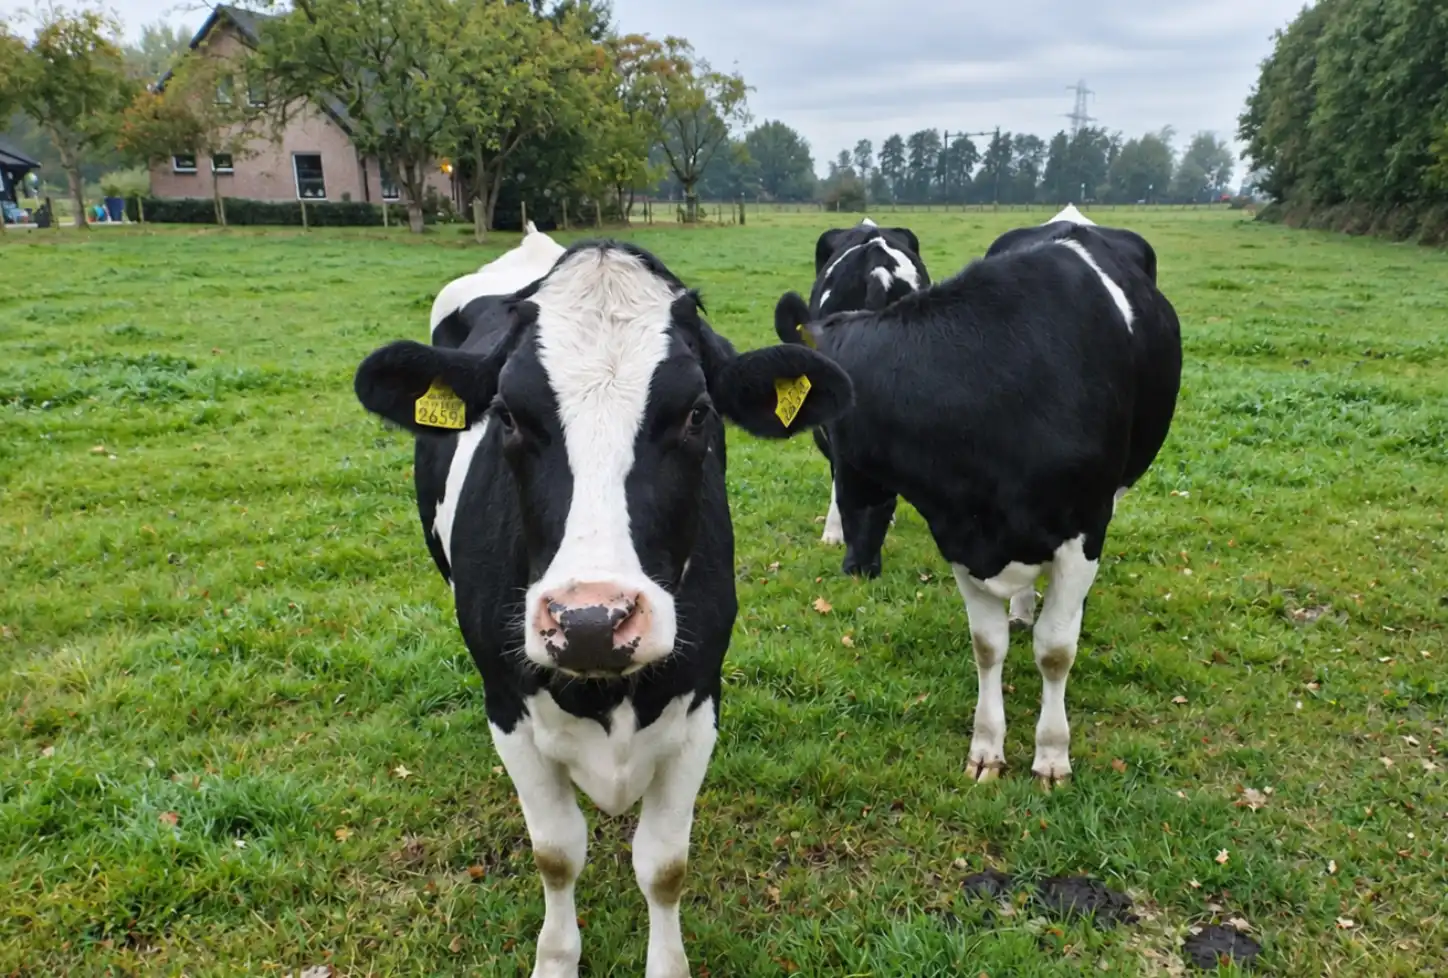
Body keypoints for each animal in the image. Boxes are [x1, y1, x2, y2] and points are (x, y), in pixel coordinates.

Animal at [353, 239, 854, 977]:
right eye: (507, 415)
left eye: (697, 413)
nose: (590, 622)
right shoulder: (508, 707)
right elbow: (557, 853)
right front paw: (556, 959)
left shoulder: (701, 701)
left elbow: (664, 866)